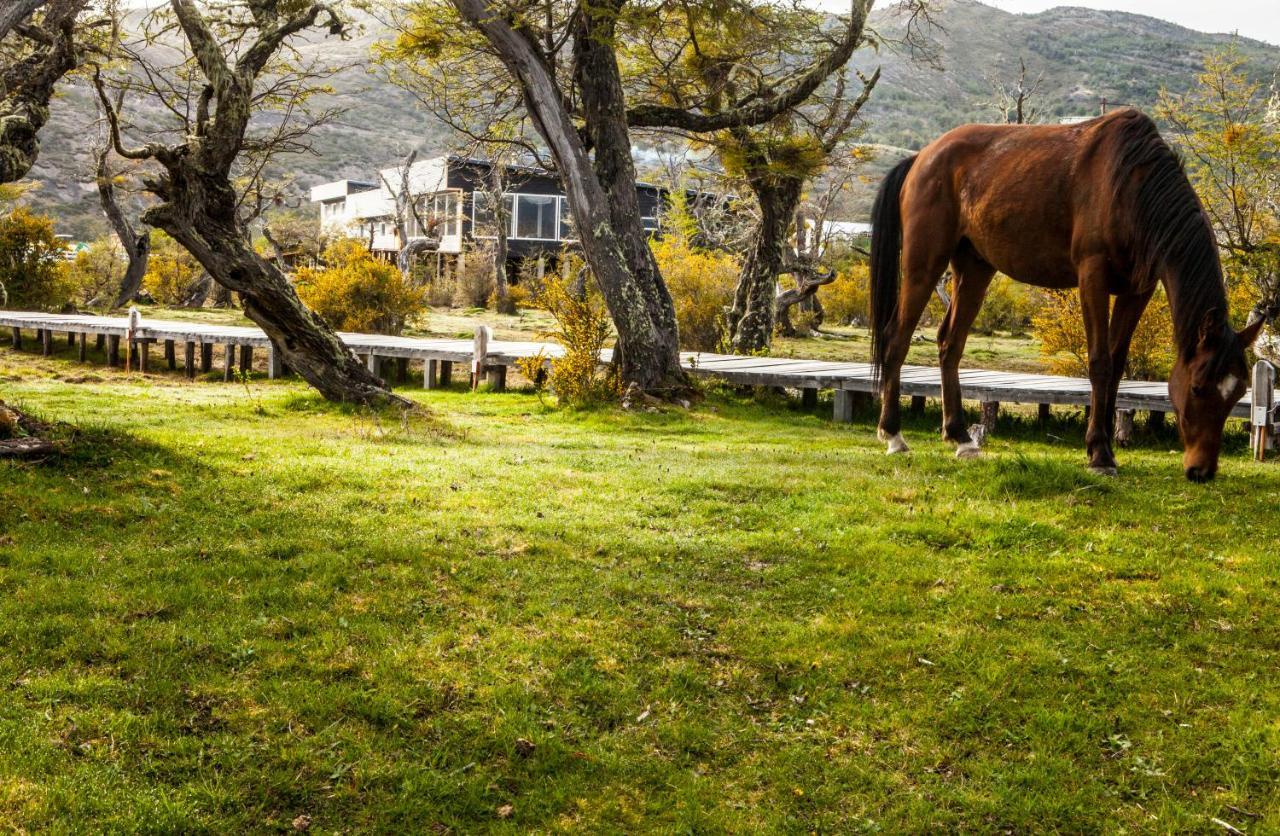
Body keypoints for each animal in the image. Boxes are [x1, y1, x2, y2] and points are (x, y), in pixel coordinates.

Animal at [865, 107, 1264, 478]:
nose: (1201, 470)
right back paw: (893, 434)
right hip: (923, 265)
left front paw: (1105, 448)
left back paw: (960, 437)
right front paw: (1099, 453)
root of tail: (922, 157)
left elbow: (1117, 365)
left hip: (974, 270)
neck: (1131, 186)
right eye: (1197, 387)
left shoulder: (1138, 290)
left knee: (950, 343)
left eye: (1238, 392)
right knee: (897, 337)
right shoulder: (1092, 277)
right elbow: (1100, 362)